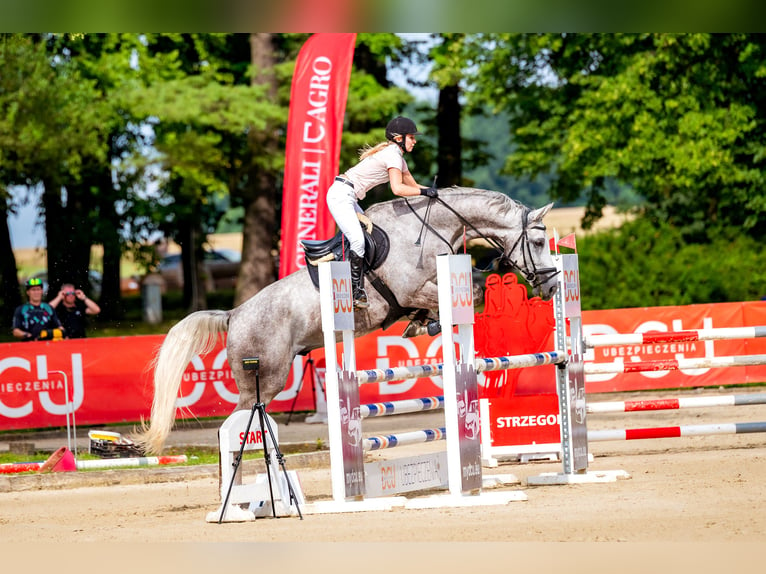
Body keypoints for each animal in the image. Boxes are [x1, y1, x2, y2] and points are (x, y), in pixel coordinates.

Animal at [135, 188, 560, 454]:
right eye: (538, 242)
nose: (554, 285)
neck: (428, 228)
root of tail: (234, 314)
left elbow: (464, 293)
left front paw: (422, 324)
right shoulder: (412, 290)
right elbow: (466, 292)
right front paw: (430, 322)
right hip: (263, 381)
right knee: (239, 423)